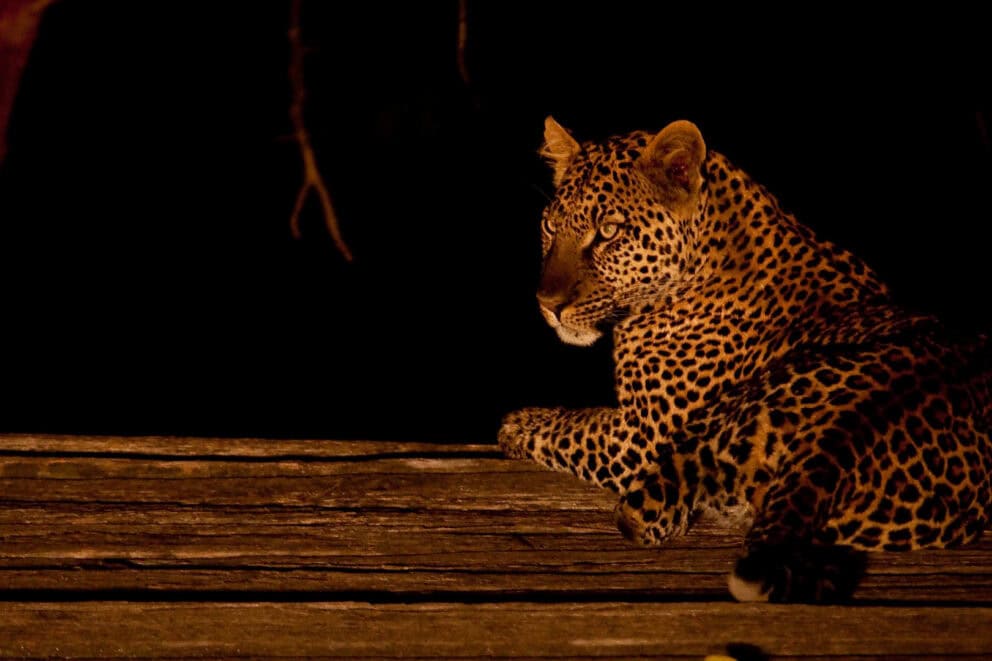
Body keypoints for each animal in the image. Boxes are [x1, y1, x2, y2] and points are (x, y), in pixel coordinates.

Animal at [498, 116, 992, 602]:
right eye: (549, 226)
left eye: (608, 232)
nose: (547, 304)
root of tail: (833, 447)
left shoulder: (642, 435)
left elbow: (573, 428)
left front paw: (518, 423)